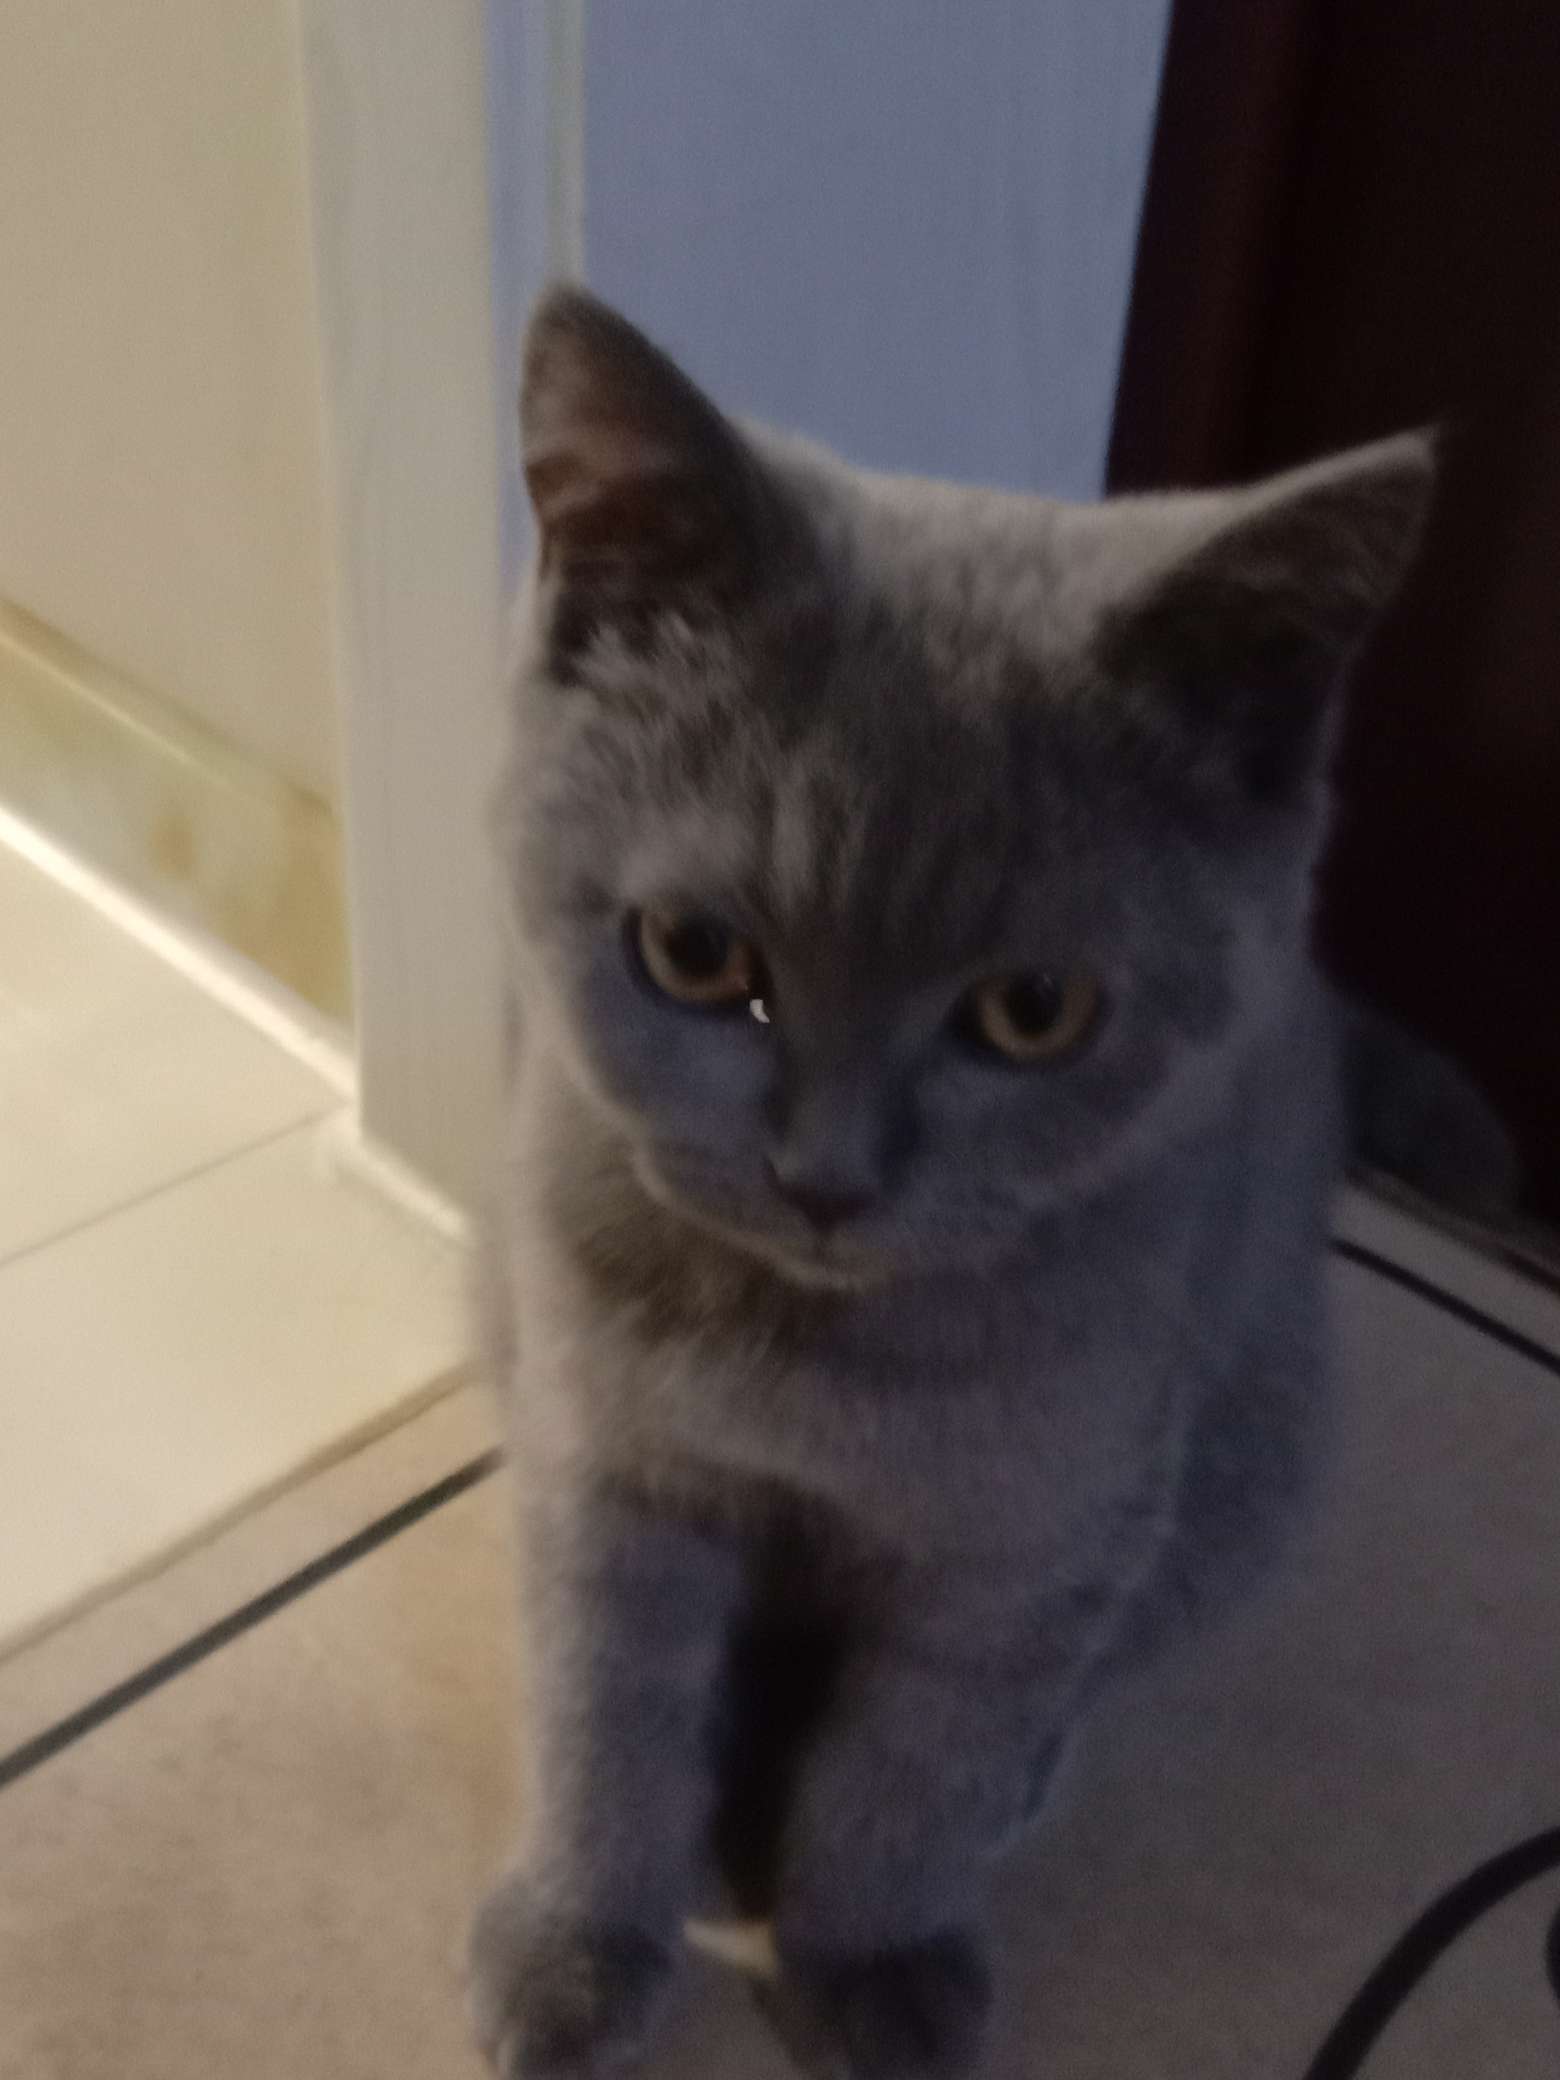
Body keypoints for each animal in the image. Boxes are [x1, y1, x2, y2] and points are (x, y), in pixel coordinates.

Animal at [468, 286, 1503, 2080]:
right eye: (694, 953)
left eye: (1033, 1013)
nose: (824, 1173)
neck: (818, 1366)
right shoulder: (604, 1456)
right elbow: (605, 1699)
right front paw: (577, 1949)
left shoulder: (1035, 1535)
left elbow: (918, 1763)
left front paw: (869, 1967)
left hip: (1254, 1462)